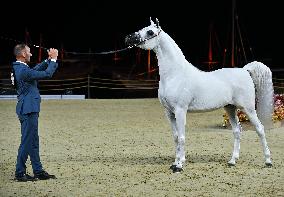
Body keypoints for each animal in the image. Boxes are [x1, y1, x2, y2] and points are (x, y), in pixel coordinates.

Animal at [125, 18, 274, 172]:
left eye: (150, 32)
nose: (128, 38)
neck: (175, 74)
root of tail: (245, 70)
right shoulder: (169, 112)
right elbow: (176, 137)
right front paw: (175, 163)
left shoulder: (180, 110)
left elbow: (182, 137)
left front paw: (179, 166)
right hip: (230, 108)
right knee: (237, 131)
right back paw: (232, 161)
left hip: (248, 108)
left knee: (260, 129)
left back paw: (268, 161)